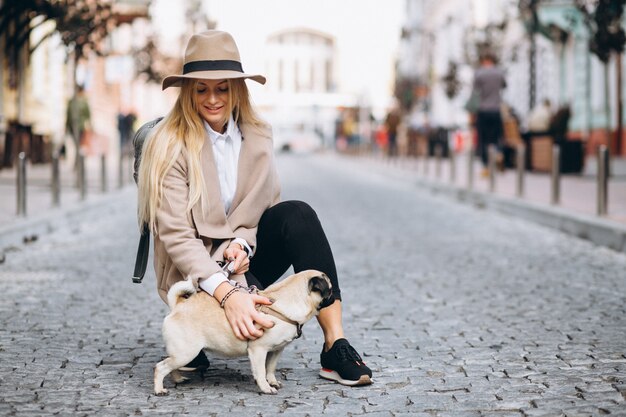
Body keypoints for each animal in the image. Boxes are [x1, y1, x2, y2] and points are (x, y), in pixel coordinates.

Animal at [154, 270, 334, 394]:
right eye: (330, 290)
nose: (335, 295)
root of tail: (178, 306)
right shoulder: (258, 350)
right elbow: (260, 371)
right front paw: (265, 388)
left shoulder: (276, 350)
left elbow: (270, 368)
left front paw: (272, 381)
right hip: (186, 352)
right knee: (161, 367)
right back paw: (159, 390)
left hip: (182, 354)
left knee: (170, 365)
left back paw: (178, 379)